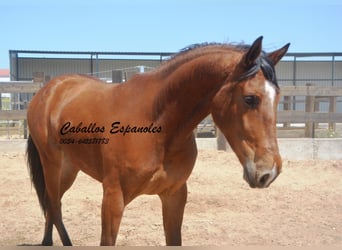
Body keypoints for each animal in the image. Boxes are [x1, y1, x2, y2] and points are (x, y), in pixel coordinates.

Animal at [26, 36, 288, 245]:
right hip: (52, 164)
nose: (269, 172)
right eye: (250, 98)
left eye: (278, 98)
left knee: (52, 203)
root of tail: (49, 89)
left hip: (69, 168)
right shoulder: (112, 199)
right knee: (54, 205)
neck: (157, 126)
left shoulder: (175, 196)